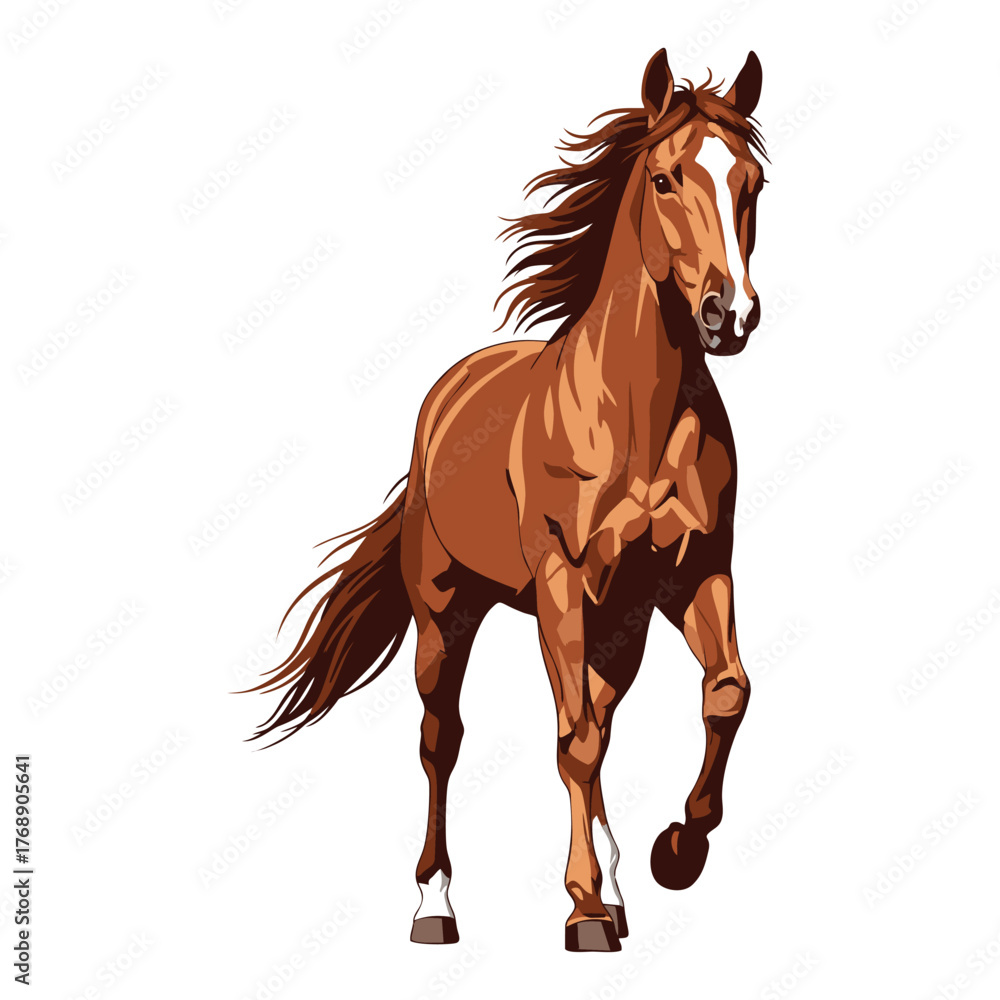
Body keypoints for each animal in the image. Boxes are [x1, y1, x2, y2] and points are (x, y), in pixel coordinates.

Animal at [247, 48, 767, 953]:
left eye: (754, 182)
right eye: (666, 178)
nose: (728, 314)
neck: (634, 415)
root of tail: (446, 395)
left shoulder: (696, 571)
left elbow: (725, 694)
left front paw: (675, 852)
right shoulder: (562, 578)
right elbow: (572, 741)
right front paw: (584, 911)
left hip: (619, 623)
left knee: (600, 717)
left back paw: (620, 885)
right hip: (446, 610)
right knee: (442, 739)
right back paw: (436, 905)